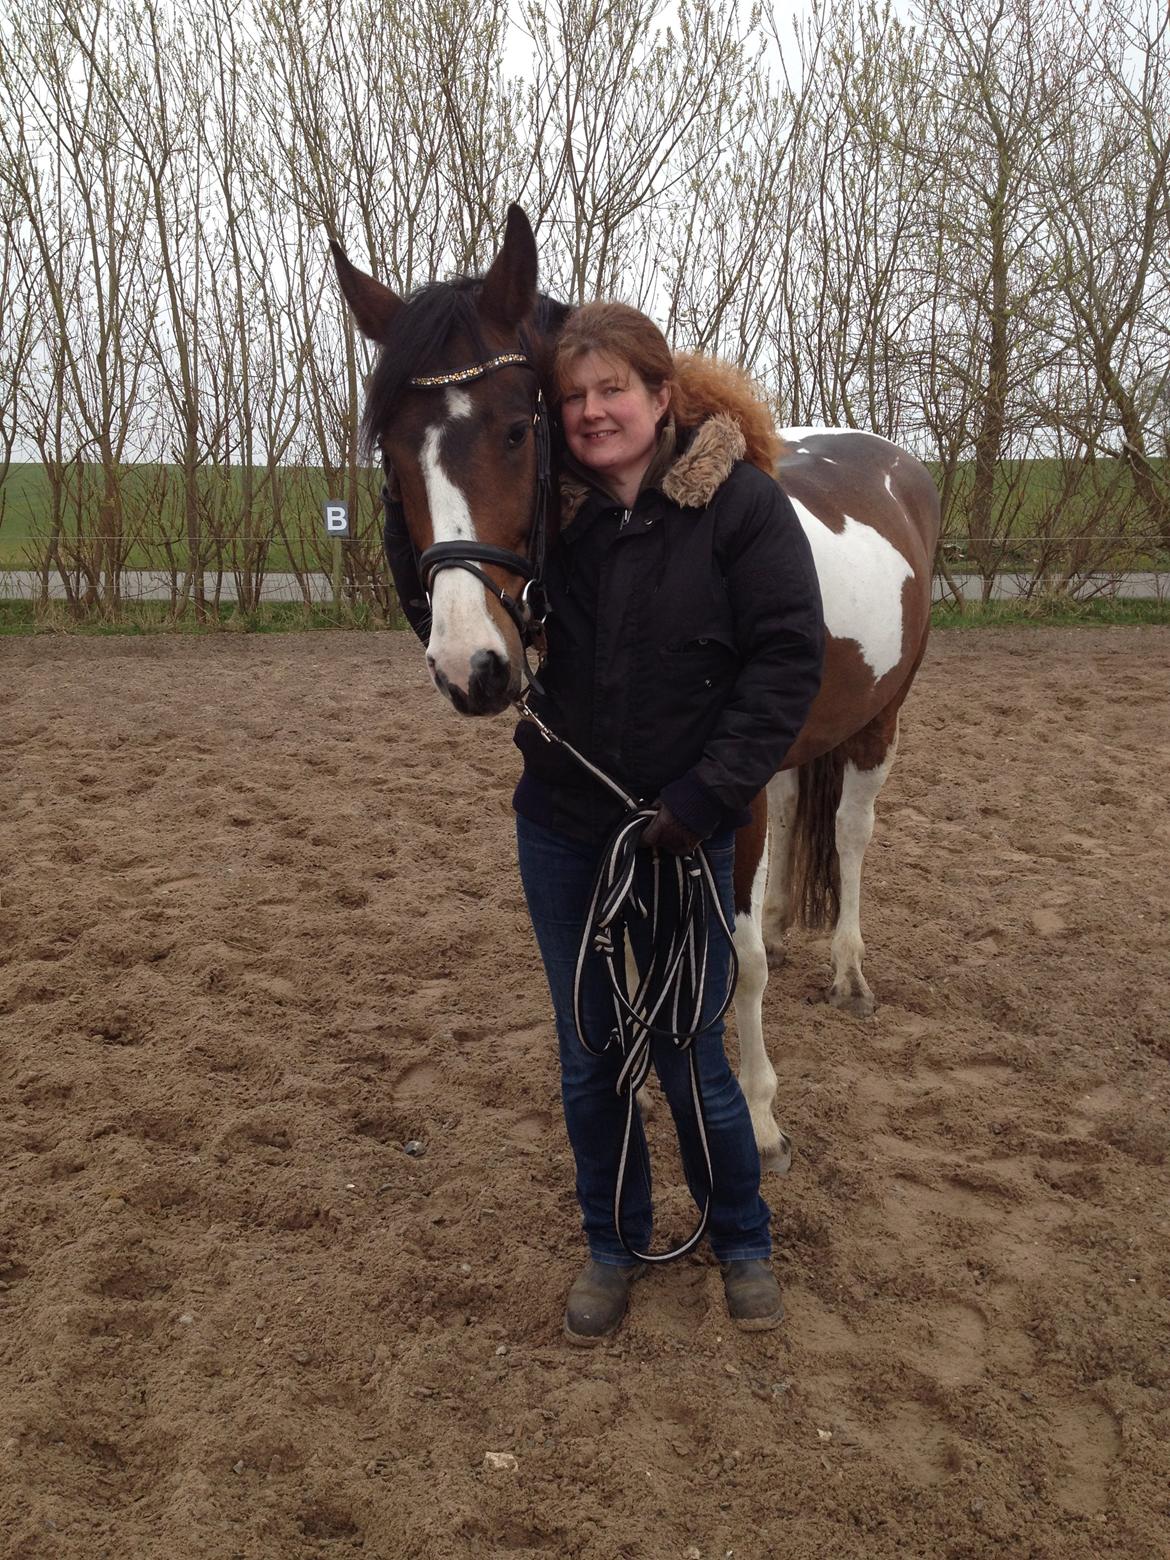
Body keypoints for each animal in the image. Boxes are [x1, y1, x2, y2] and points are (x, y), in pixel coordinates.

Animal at [330, 204, 942, 1173]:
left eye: (518, 429)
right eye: (392, 451)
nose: (472, 667)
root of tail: (894, 462)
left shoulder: (712, 799)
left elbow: (737, 967)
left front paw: (759, 1115)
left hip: (880, 718)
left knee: (850, 832)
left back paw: (848, 969)